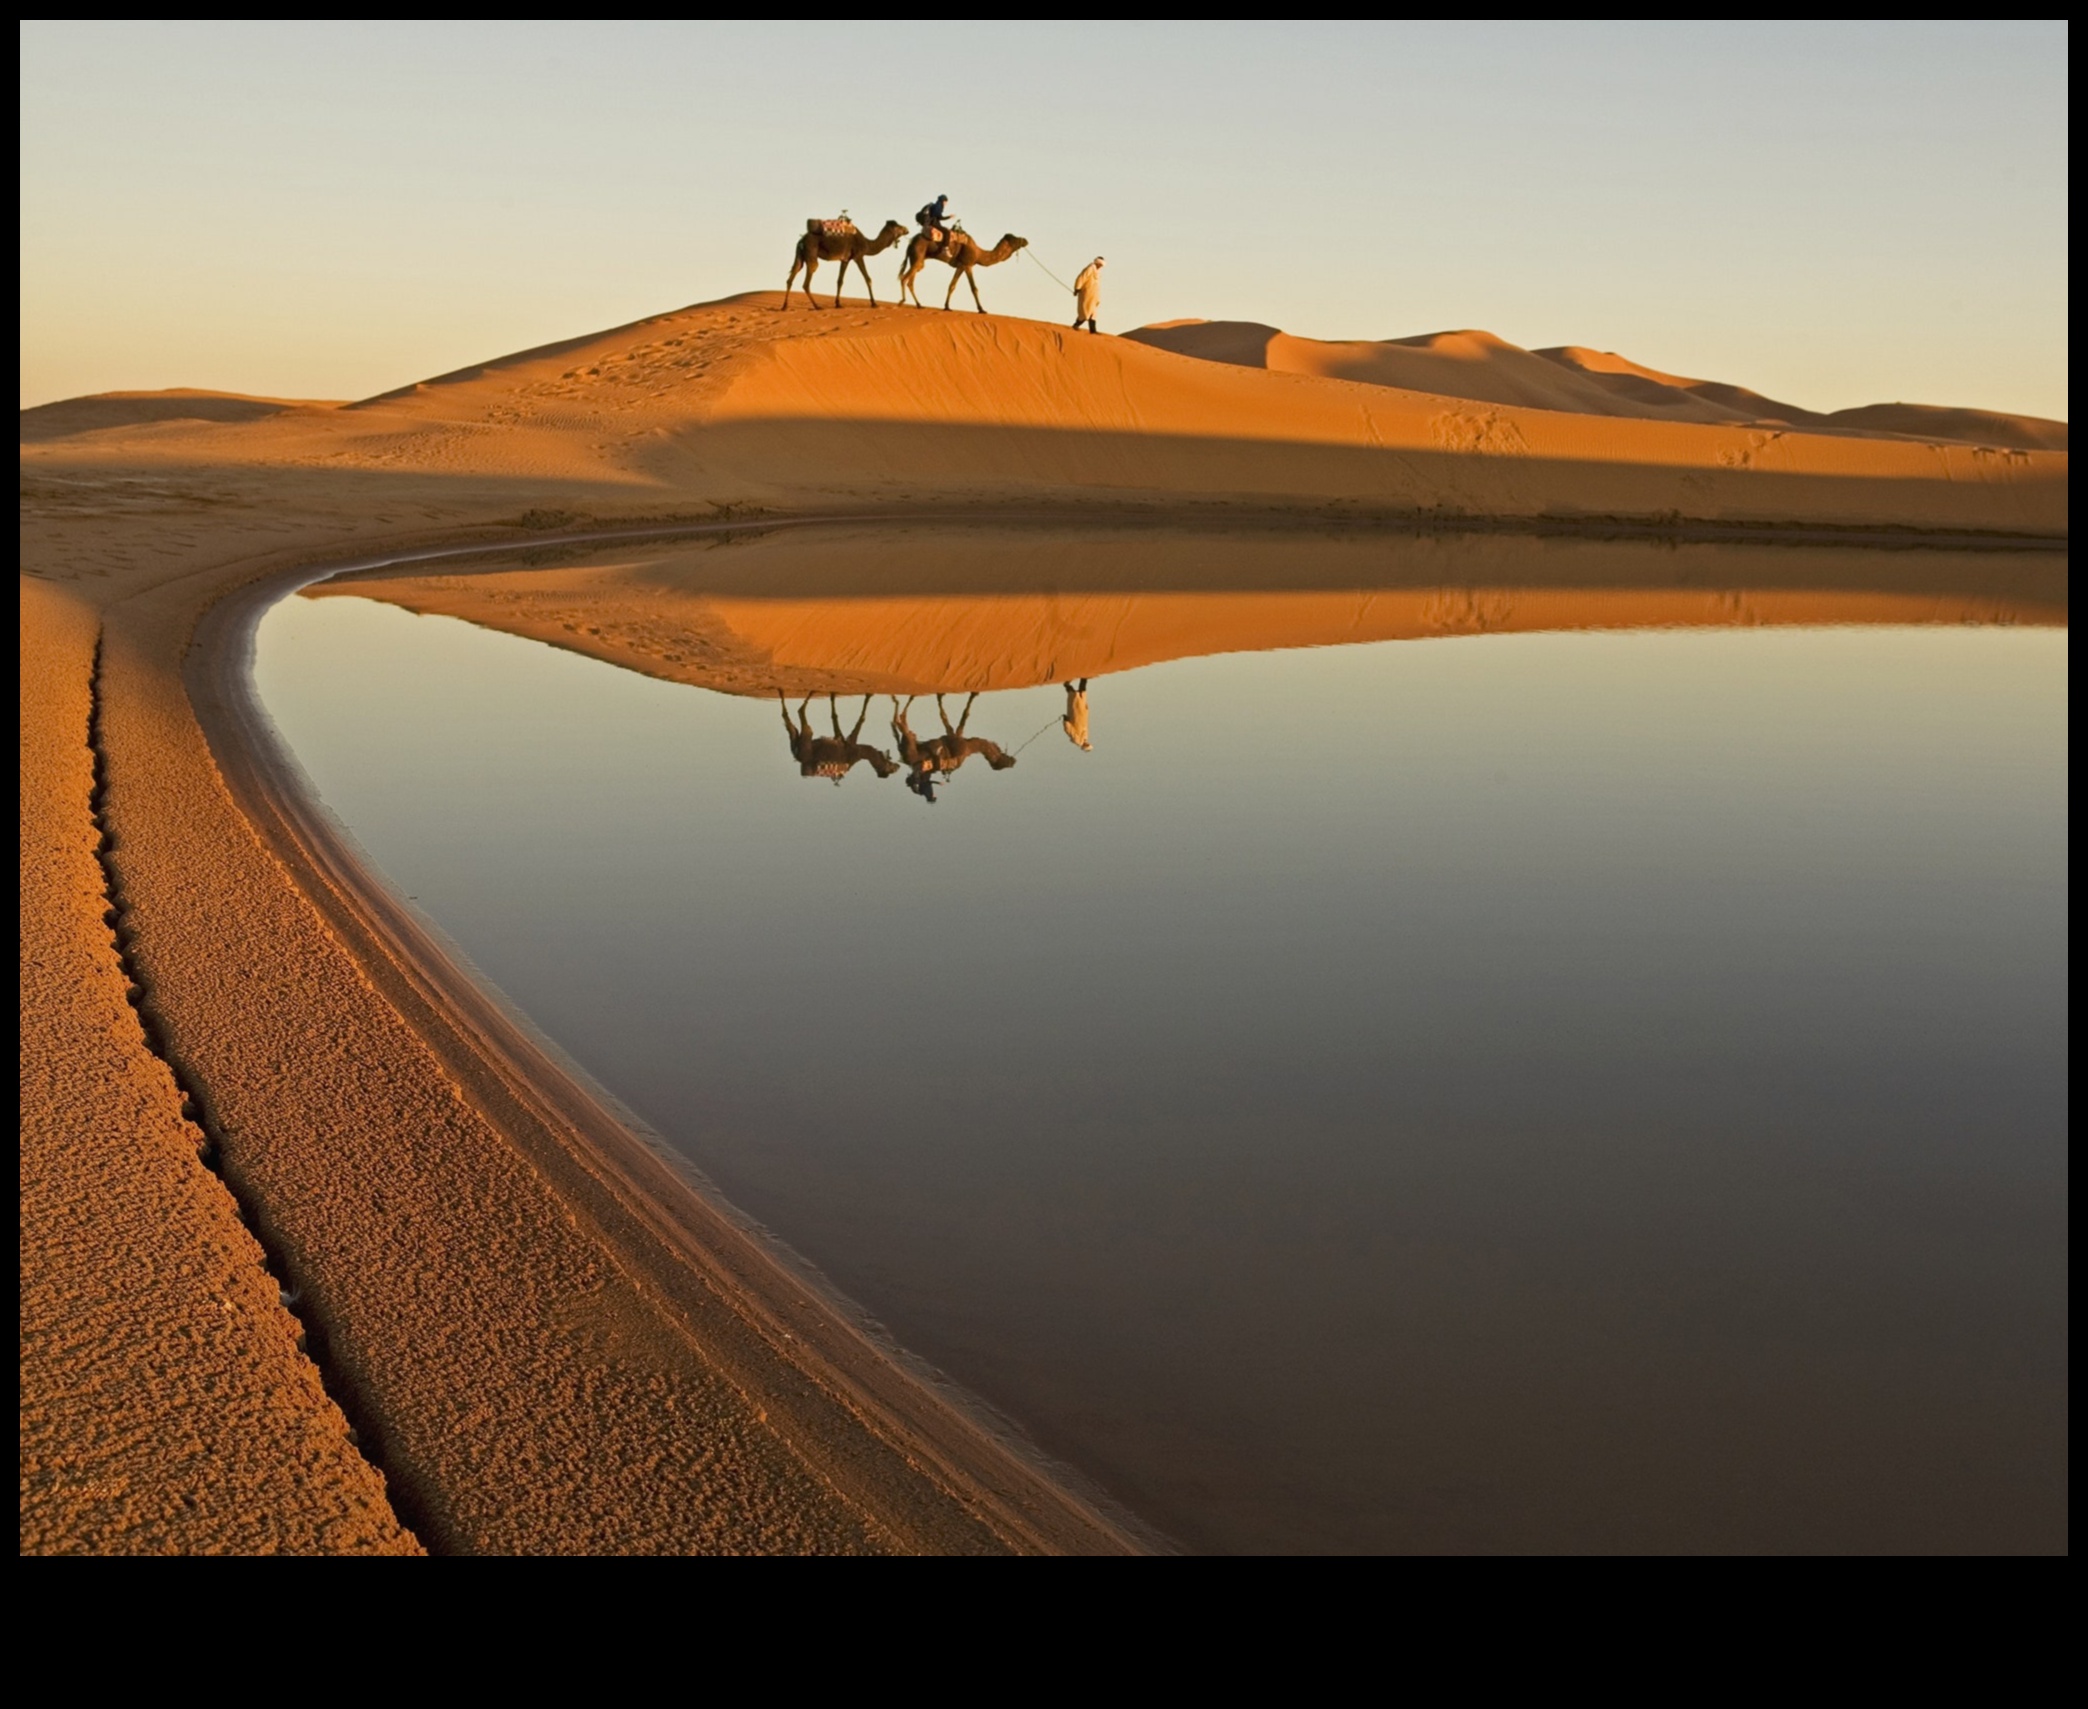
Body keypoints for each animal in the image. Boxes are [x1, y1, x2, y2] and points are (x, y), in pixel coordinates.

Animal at [885, 689, 1014, 802]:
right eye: (1004, 762)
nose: (1013, 761)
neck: (970, 747)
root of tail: (905, 757)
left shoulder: (951, 734)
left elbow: (945, 717)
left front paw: (941, 694)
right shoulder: (958, 739)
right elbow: (963, 715)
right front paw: (973, 693)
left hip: (909, 743)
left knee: (900, 722)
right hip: (910, 743)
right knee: (901, 719)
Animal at [897, 227, 1027, 311]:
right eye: (1015, 239)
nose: (1025, 240)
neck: (978, 253)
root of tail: (911, 242)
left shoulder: (960, 266)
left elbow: (952, 285)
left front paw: (947, 307)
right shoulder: (968, 265)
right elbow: (974, 288)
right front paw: (982, 309)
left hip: (918, 260)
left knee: (910, 281)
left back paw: (919, 305)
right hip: (918, 256)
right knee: (904, 278)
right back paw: (902, 301)